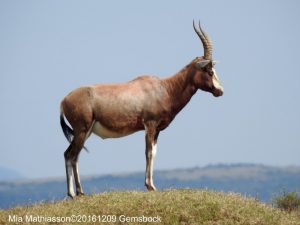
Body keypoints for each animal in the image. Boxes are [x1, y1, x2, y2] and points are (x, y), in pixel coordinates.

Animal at [59, 20, 223, 197]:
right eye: (209, 70)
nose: (220, 91)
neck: (165, 88)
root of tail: (64, 100)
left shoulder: (157, 130)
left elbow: (154, 153)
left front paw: (151, 185)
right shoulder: (149, 125)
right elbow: (148, 152)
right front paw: (150, 186)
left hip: (84, 132)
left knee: (69, 154)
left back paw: (73, 193)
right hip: (82, 130)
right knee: (73, 155)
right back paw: (77, 193)